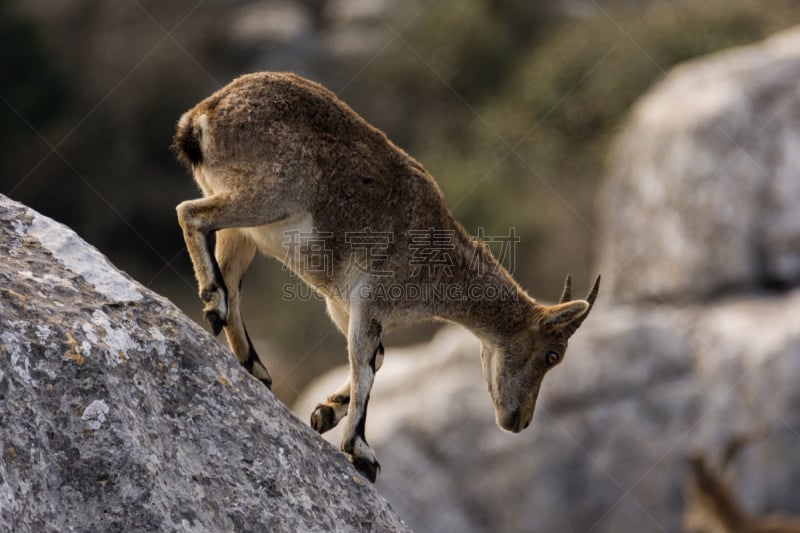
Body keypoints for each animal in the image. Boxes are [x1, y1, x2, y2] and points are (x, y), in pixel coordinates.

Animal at [175, 71, 600, 482]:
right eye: (551, 355)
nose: (519, 422)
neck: (438, 266)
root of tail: (203, 115)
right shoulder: (370, 302)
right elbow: (364, 367)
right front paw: (361, 453)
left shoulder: (344, 304)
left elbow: (375, 360)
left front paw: (325, 413)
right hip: (271, 194)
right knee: (191, 213)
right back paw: (214, 304)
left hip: (247, 228)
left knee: (231, 277)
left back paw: (256, 368)